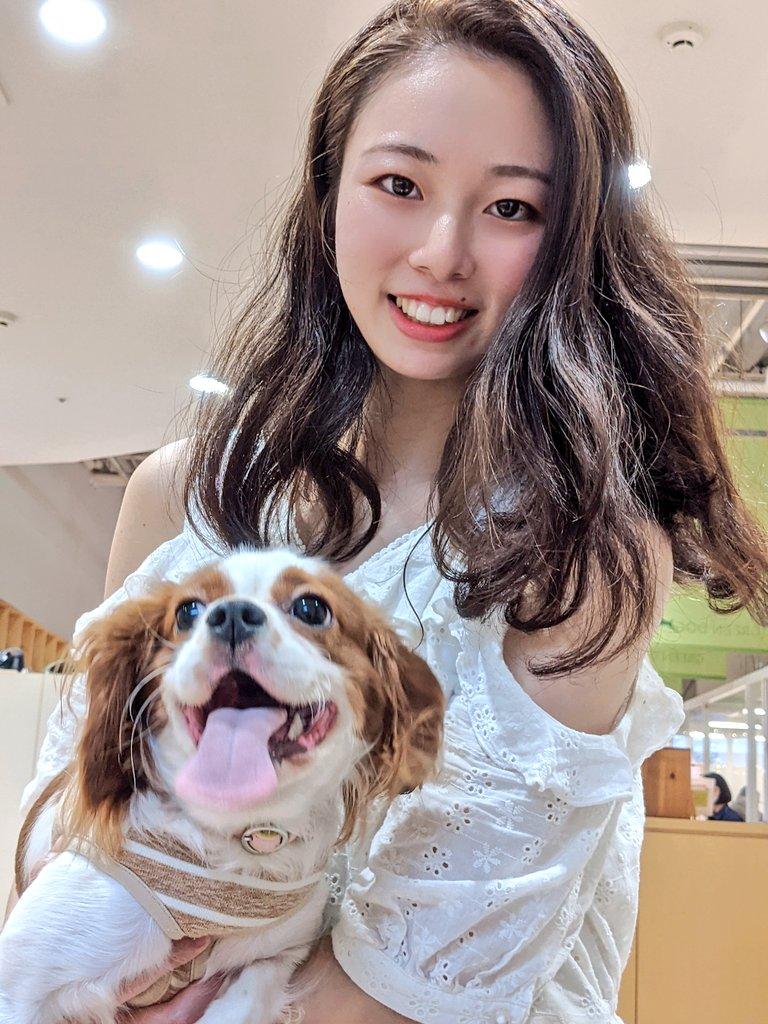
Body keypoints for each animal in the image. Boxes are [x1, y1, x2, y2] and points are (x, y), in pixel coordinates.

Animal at [1, 548, 444, 1024]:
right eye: (188, 611)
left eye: (311, 608)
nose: (231, 615)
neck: (238, 831)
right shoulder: (20, 987)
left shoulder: (280, 953)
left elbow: (248, 994)